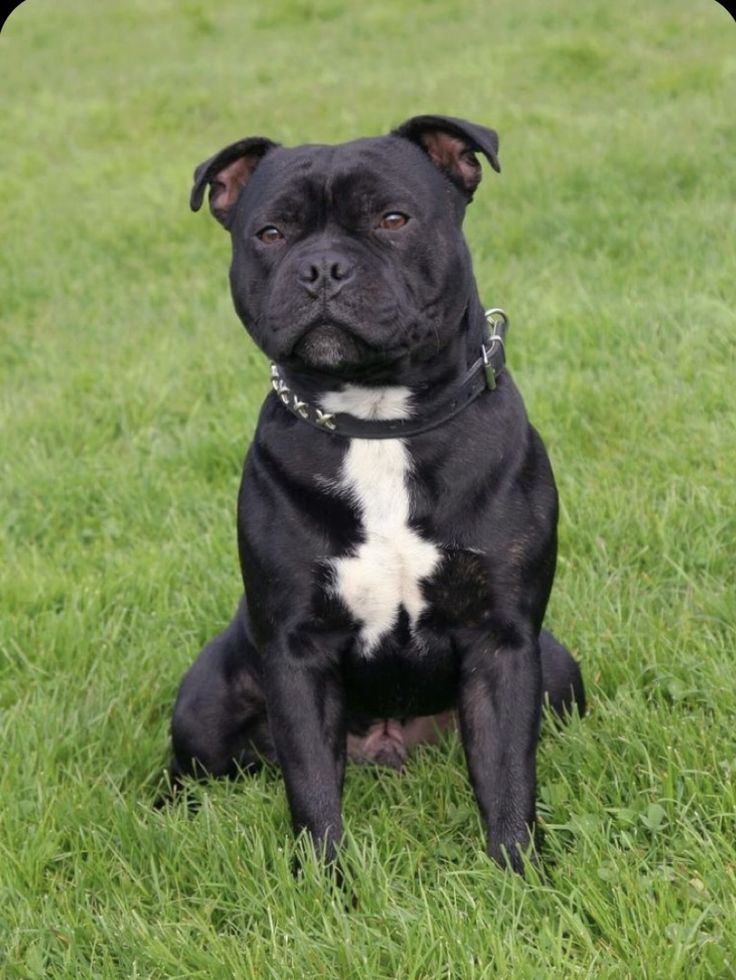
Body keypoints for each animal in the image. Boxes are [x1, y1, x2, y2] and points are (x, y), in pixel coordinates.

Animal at [168, 113, 588, 872]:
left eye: (393, 219)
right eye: (269, 232)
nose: (322, 268)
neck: (378, 418)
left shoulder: (504, 641)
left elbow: (508, 773)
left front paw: (520, 873)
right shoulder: (297, 652)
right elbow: (310, 786)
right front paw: (323, 884)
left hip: (558, 670)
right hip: (204, 702)